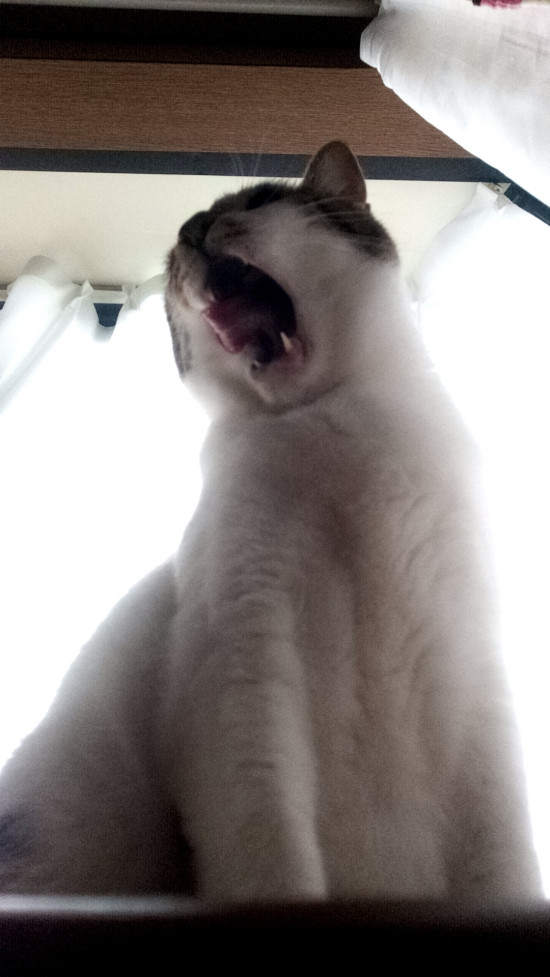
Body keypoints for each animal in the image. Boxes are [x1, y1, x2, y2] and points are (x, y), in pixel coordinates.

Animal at [0, 141, 541, 902]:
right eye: (175, 251)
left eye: (256, 203)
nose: (192, 227)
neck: (326, 428)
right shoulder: (244, 663)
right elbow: (272, 853)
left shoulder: (474, 670)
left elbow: (505, 861)